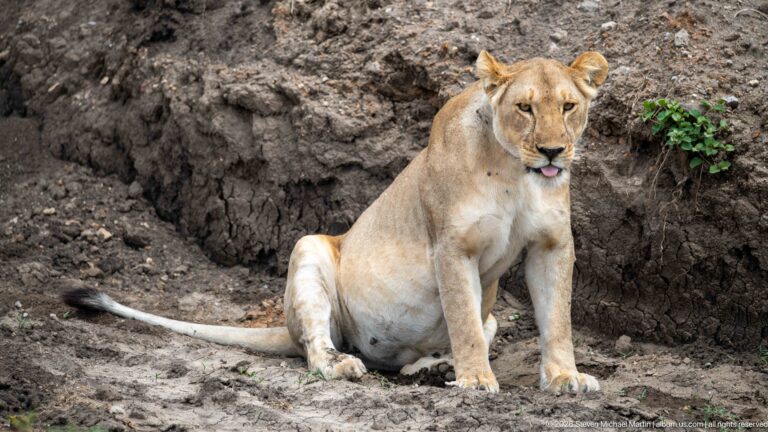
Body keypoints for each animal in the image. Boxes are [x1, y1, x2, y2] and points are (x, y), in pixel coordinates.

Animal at [64, 50, 609, 393]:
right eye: (524, 107)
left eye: (568, 106)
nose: (553, 151)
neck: (517, 173)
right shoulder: (452, 248)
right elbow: (464, 323)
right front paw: (477, 380)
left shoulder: (552, 246)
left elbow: (556, 321)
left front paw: (565, 378)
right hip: (309, 247)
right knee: (314, 346)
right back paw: (347, 364)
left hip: (484, 314)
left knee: (453, 338)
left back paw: (430, 370)